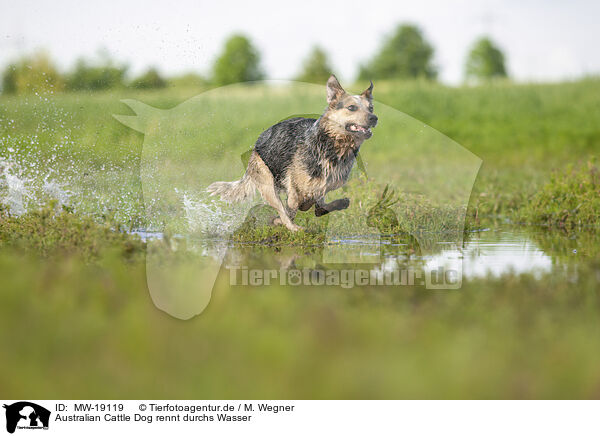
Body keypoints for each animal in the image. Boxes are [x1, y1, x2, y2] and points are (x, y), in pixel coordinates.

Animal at [206, 75, 376, 232]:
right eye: (352, 107)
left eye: (371, 108)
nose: (374, 118)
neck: (333, 145)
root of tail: (256, 146)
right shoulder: (294, 187)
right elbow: (291, 207)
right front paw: (282, 219)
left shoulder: (326, 185)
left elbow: (318, 205)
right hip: (267, 182)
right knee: (284, 211)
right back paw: (292, 226)